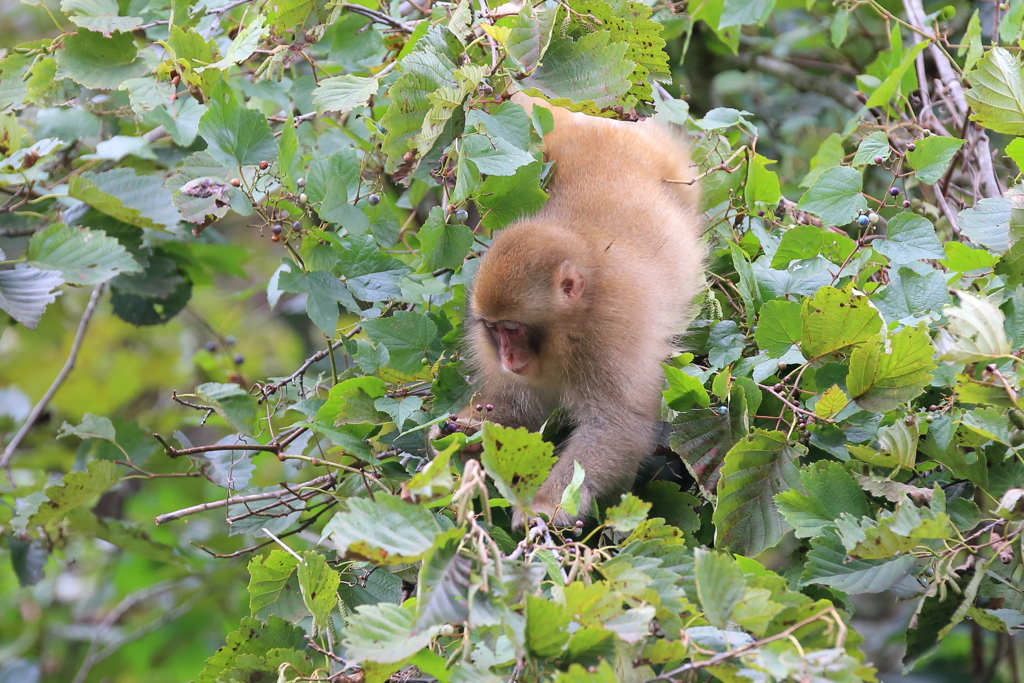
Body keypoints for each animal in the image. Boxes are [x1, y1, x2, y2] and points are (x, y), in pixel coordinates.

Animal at [444, 94, 700, 528]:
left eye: (513, 329)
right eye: (494, 330)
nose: (508, 358)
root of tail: (590, 128)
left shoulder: (611, 335)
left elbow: (617, 425)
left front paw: (546, 504)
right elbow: (520, 405)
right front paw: (468, 430)